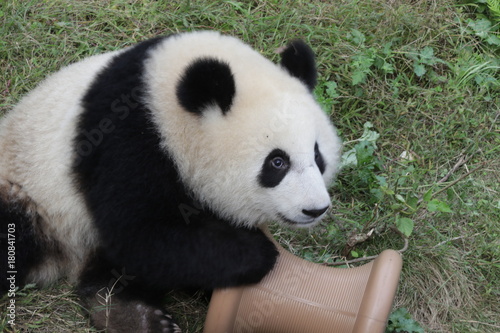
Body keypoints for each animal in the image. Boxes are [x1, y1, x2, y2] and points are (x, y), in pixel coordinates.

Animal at [0, 30, 340, 330]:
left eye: (317, 155)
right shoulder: (125, 138)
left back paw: (129, 313)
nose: (315, 209)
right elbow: (141, 235)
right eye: (277, 162)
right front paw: (257, 252)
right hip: (33, 194)